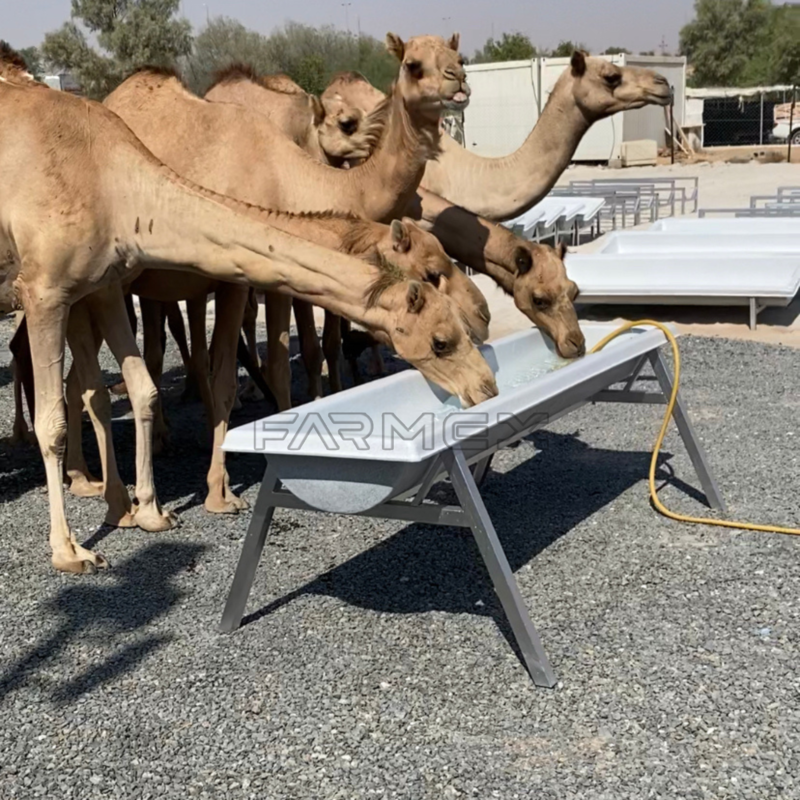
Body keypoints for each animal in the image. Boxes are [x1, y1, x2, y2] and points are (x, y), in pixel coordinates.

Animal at [0, 50, 496, 573]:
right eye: (441, 339)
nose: (486, 385)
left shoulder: (104, 283)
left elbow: (143, 388)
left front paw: (148, 511)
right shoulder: (49, 289)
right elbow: (62, 416)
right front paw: (72, 548)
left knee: (91, 384)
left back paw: (106, 488)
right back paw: (81, 483)